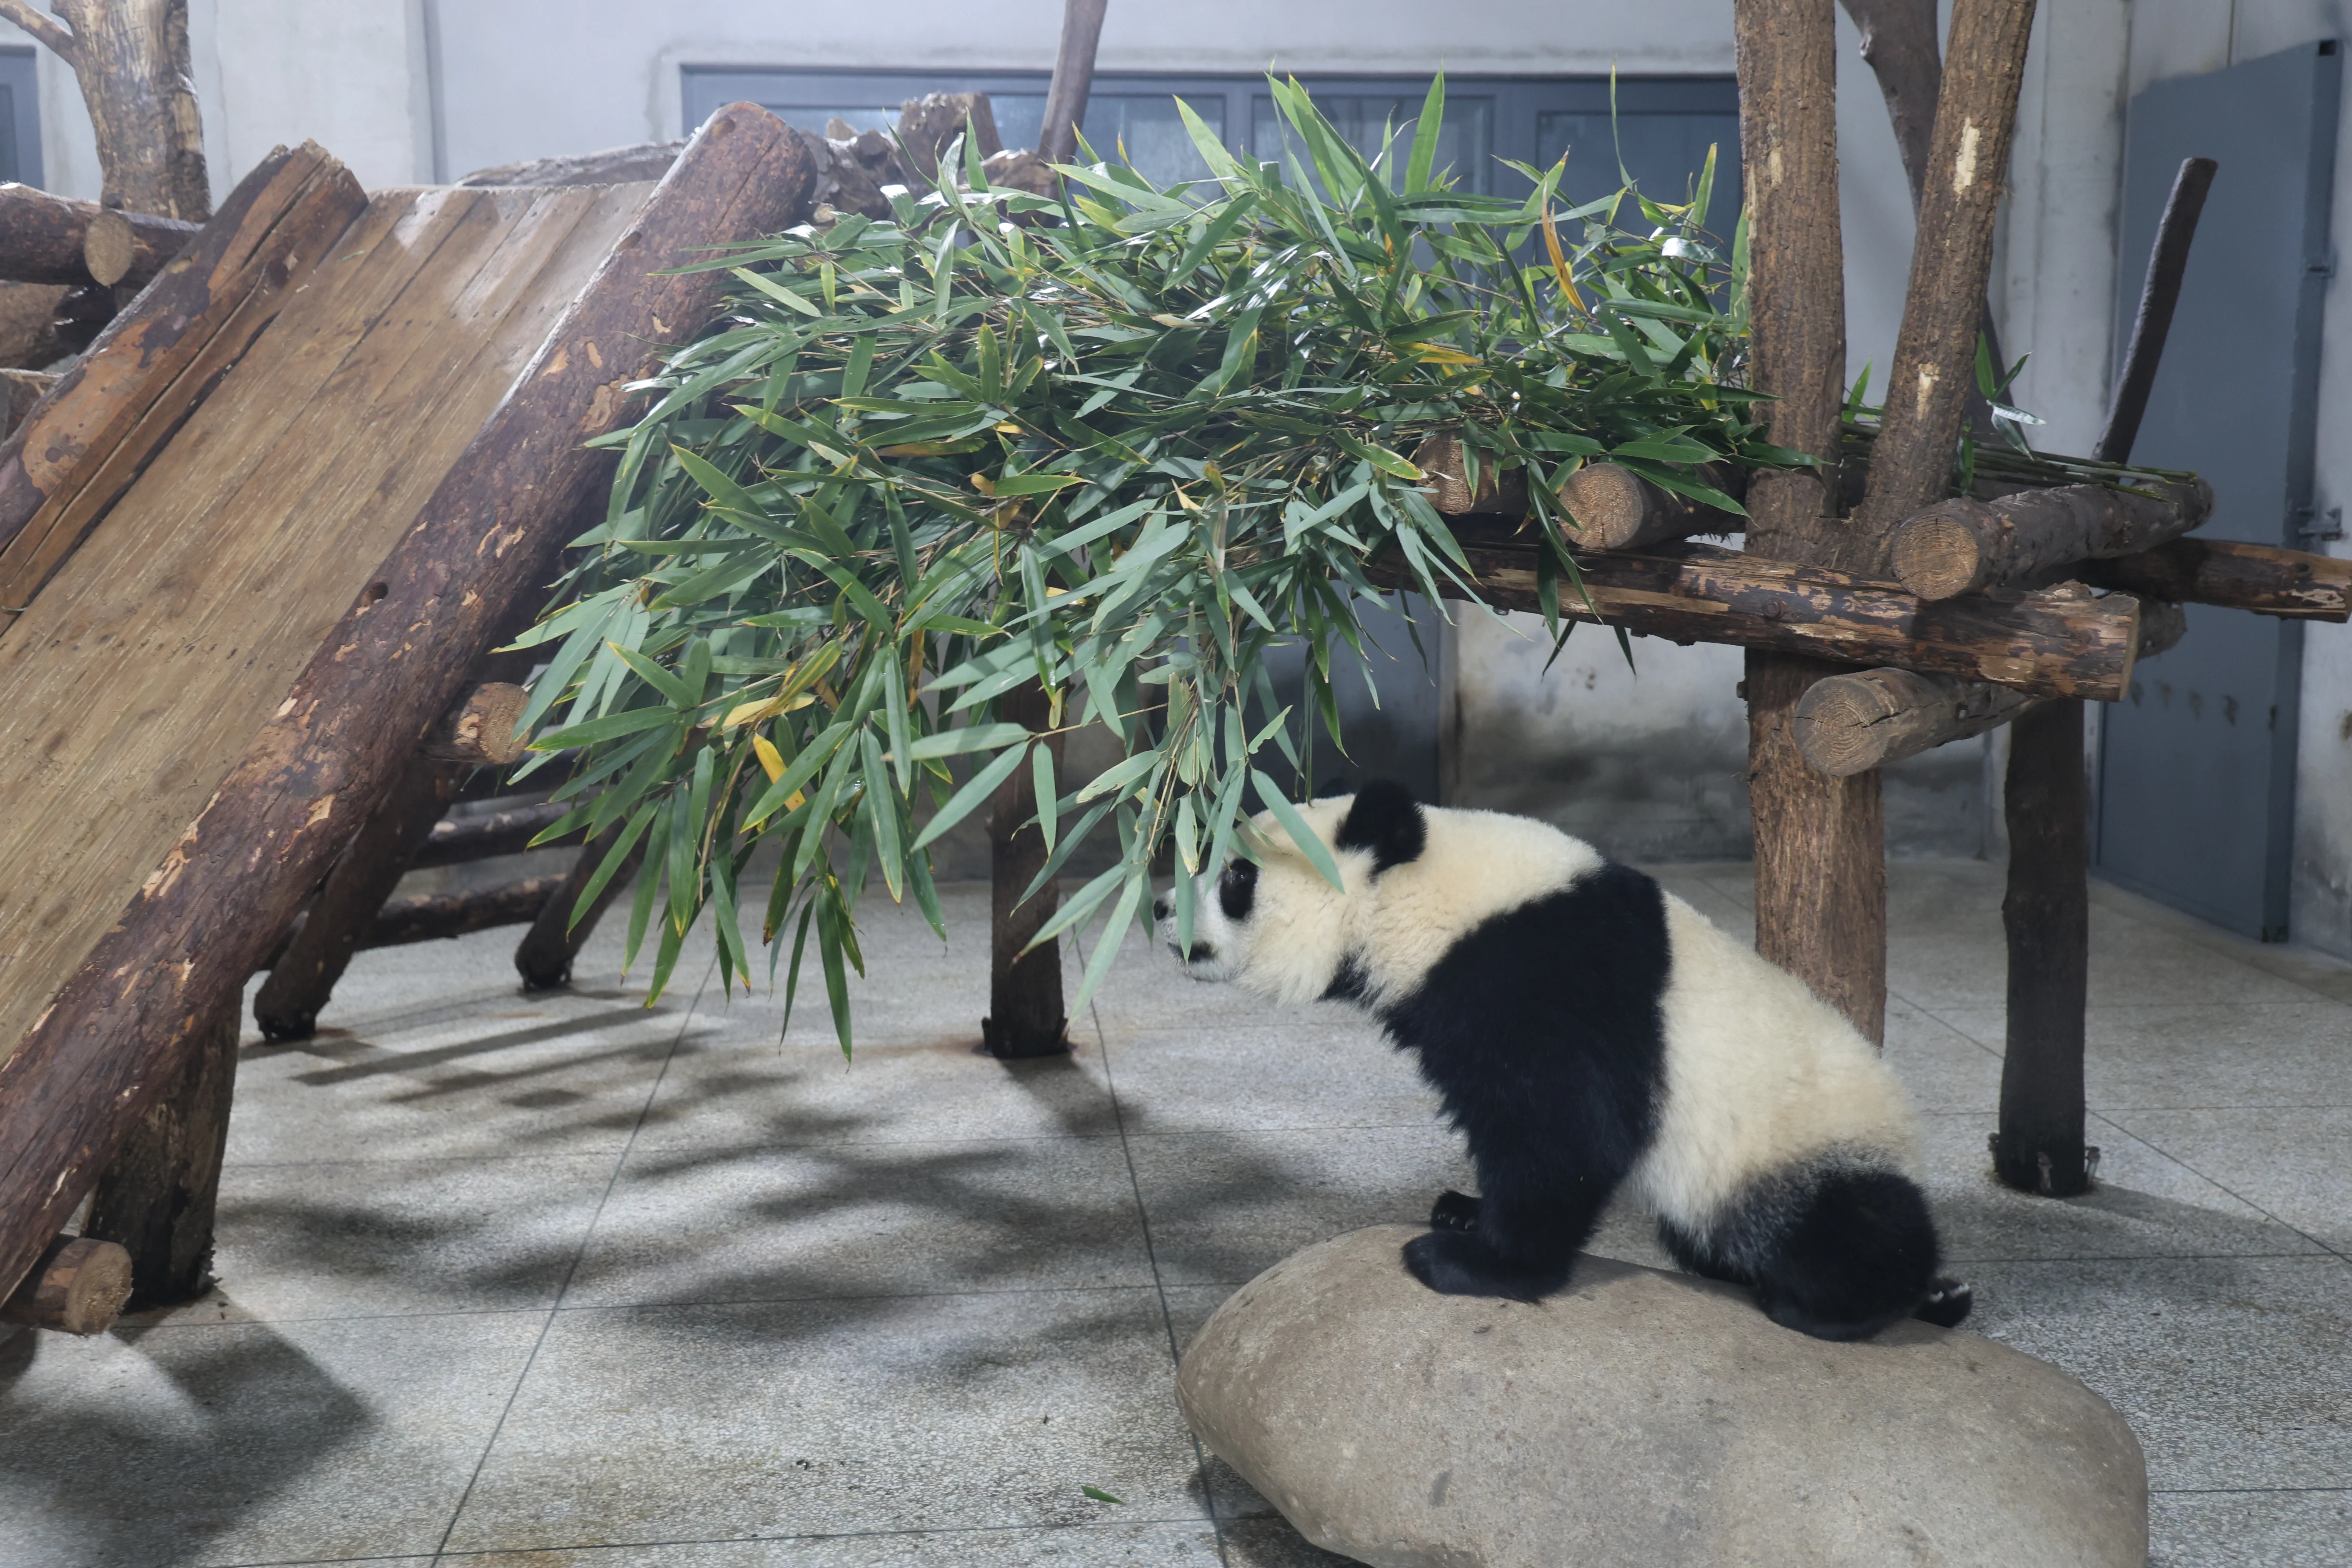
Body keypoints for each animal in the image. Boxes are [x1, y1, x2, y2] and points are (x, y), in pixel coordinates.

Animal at [1152, 780, 1972, 1341]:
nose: (1159, 907)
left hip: (1802, 1147)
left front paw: (1473, 1264)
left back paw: (1866, 1302)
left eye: (1235, 878)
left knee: (1843, 1230)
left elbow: (1566, 1134)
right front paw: (1462, 1210)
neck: (1428, 900)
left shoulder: (1541, 980)